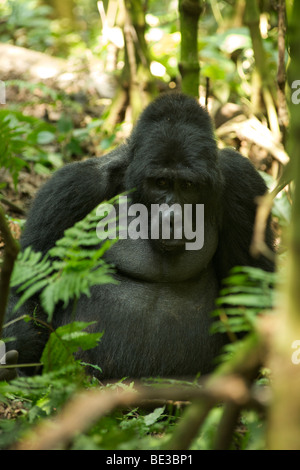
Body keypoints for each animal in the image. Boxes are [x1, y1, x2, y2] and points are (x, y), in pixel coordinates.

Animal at [2, 93, 274, 380]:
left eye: (188, 186)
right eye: (161, 183)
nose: (171, 218)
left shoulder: (242, 183)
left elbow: (252, 287)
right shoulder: (72, 187)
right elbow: (28, 287)